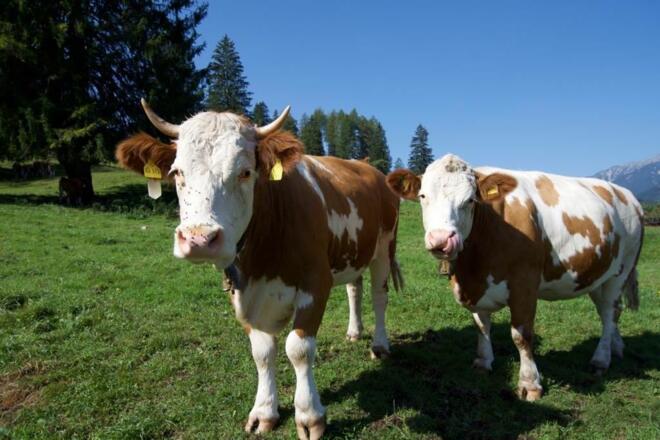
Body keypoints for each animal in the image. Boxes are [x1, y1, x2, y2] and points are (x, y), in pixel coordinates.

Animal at [115, 100, 403, 439]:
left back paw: (379, 345)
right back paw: (354, 332)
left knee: (379, 296)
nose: (199, 239)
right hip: (351, 254)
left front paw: (309, 416)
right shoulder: (244, 292)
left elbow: (298, 348)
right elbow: (262, 352)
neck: (263, 256)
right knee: (353, 288)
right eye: (176, 173)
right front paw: (264, 411)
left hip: (384, 245)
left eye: (245, 172)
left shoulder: (315, 283)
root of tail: (367, 165)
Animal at [387, 154, 644, 401]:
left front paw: (530, 384)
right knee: (610, 312)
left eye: (470, 200)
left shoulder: (524, 285)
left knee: (609, 312)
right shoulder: (476, 288)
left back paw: (601, 359)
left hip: (621, 270)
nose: (441, 240)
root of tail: (628, 196)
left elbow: (521, 336)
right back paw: (616, 347)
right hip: (597, 275)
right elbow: (481, 326)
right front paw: (483, 363)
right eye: (423, 196)